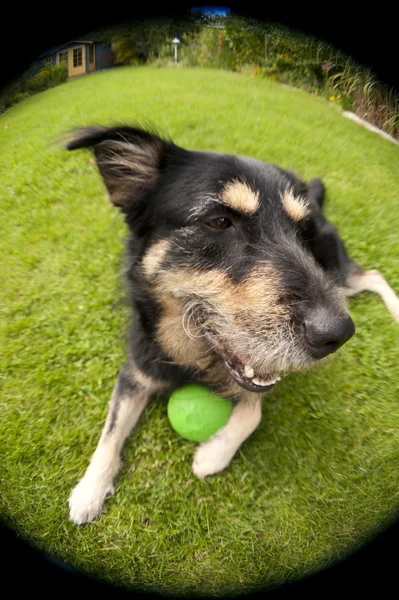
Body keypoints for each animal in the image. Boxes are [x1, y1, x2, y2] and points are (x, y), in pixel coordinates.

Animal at [66, 124, 399, 524]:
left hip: (335, 272)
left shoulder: (261, 375)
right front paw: (89, 490)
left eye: (301, 230)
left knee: (373, 274)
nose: (337, 334)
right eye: (219, 222)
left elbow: (252, 412)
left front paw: (213, 453)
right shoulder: (135, 372)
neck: (196, 357)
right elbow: (110, 431)